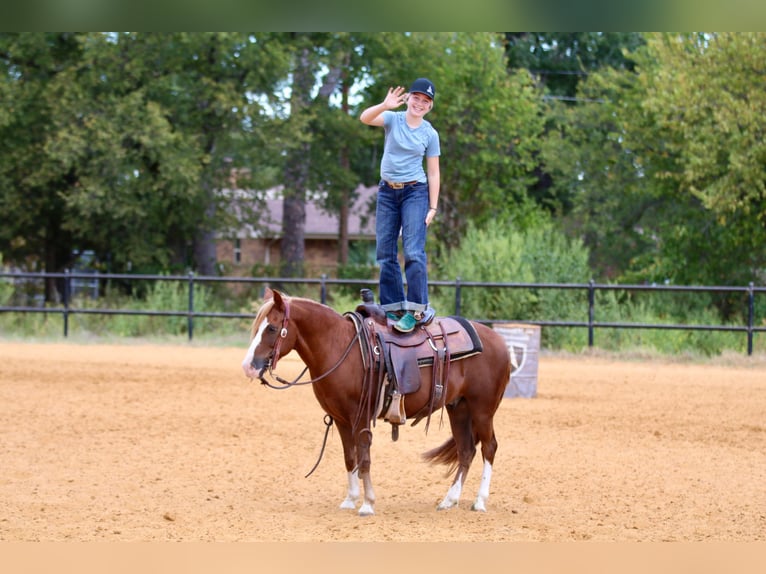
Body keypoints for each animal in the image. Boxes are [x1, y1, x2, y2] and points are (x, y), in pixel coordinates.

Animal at [241, 288, 512, 516]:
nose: (248, 367)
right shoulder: (340, 419)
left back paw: (479, 501)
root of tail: (499, 341)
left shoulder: (359, 416)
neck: (340, 347)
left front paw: (368, 504)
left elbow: (364, 458)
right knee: (466, 450)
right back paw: (449, 500)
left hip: (482, 410)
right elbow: (349, 458)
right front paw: (350, 500)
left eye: (272, 328)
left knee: (489, 448)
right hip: (459, 408)